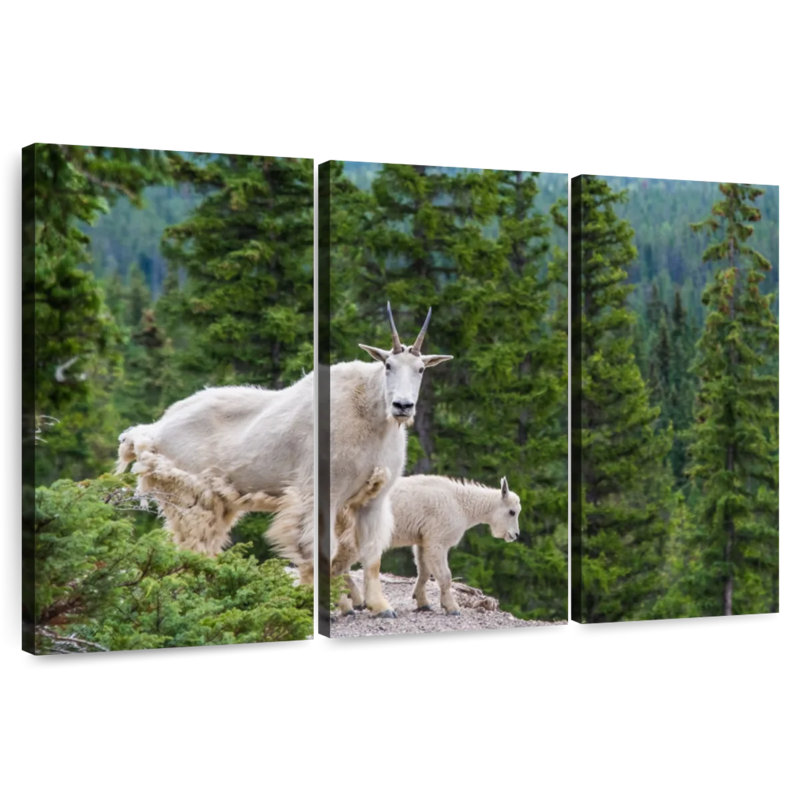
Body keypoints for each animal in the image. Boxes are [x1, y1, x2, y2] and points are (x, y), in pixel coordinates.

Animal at [333, 475, 521, 615]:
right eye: (512, 512)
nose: (515, 535)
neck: (461, 504)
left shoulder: (423, 540)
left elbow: (424, 572)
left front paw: (422, 603)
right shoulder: (437, 541)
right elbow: (445, 576)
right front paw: (452, 607)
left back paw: (356, 602)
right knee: (338, 568)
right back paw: (349, 607)